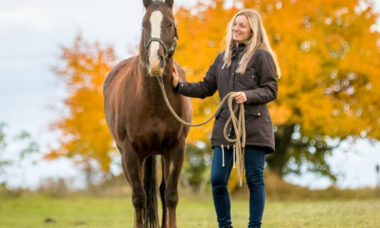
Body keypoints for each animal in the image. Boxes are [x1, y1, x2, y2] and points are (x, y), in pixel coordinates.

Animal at [103, 0, 190, 228]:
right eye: (143, 25)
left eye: (170, 23)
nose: (155, 62)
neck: (153, 102)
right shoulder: (130, 153)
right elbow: (139, 198)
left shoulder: (176, 149)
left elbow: (170, 196)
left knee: (162, 192)